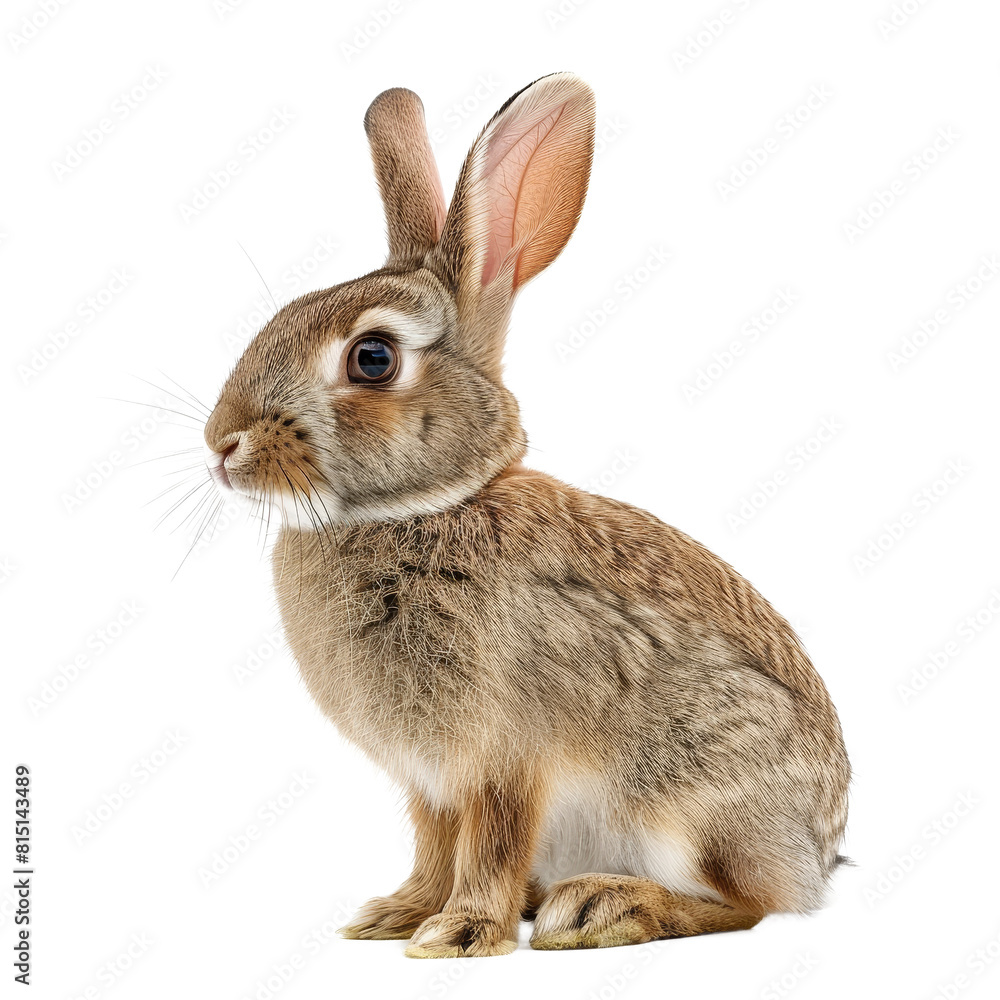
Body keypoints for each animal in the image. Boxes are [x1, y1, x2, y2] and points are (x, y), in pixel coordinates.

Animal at [203, 73, 850, 958]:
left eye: (372, 358)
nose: (221, 444)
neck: (429, 506)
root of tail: (816, 853)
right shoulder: (431, 780)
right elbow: (434, 844)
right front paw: (396, 914)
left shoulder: (508, 759)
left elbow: (492, 843)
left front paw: (460, 933)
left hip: (690, 798)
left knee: (748, 904)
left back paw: (603, 907)